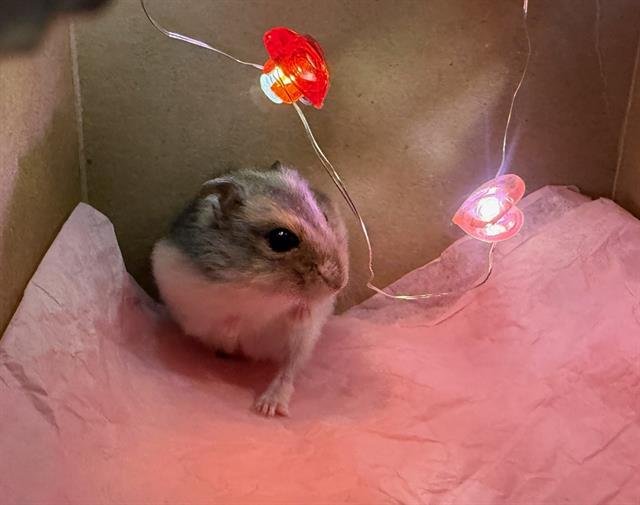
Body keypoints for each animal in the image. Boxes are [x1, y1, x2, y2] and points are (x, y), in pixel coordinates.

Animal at [152, 161, 349, 416]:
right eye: (281, 238)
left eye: (325, 216)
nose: (339, 283)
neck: (265, 290)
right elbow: (229, 321)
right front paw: (232, 334)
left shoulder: (312, 317)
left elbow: (304, 313)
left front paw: (300, 310)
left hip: (305, 340)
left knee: (289, 368)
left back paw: (268, 408)